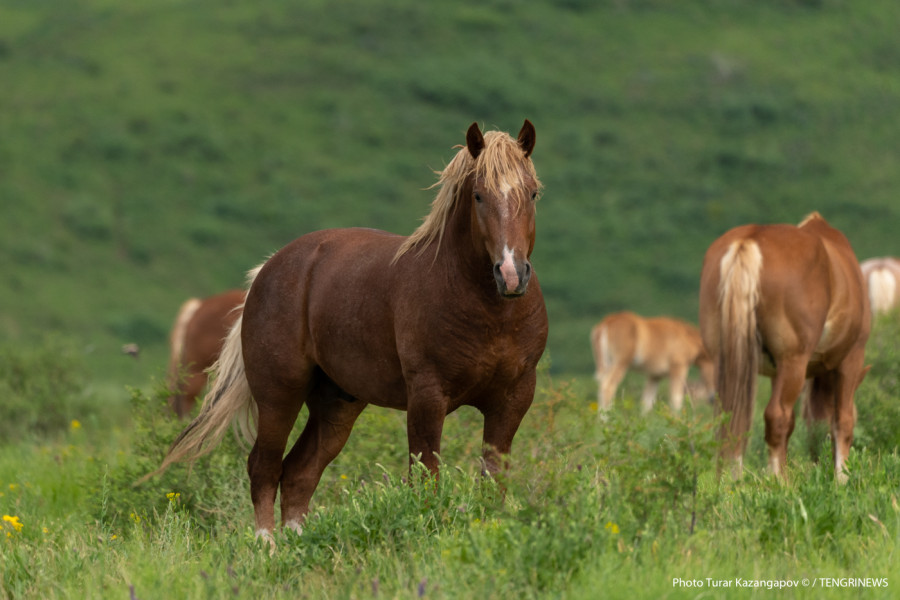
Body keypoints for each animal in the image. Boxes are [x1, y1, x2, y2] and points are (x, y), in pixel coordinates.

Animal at [696, 213, 872, 480]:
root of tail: (750, 240)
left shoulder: (776, 373)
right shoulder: (851, 359)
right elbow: (843, 421)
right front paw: (842, 478)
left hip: (724, 363)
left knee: (732, 419)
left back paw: (732, 482)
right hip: (793, 362)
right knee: (776, 416)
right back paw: (778, 482)